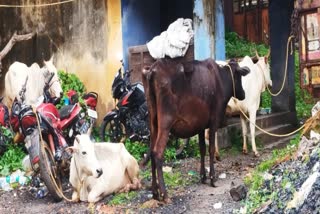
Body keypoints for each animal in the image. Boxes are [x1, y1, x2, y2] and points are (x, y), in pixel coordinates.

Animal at [142, 58, 250, 202]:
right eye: (239, 76)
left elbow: (202, 149)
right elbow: (211, 149)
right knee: (157, 153)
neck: (221, 79)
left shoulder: (200, 125)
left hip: (153, 123)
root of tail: (152, 70)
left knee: (152, 153)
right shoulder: (213, 122)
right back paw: (165, 194)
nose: (243, 94)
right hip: (165, 122)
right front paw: (212, 179)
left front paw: (203, 177)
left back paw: (155, 192)